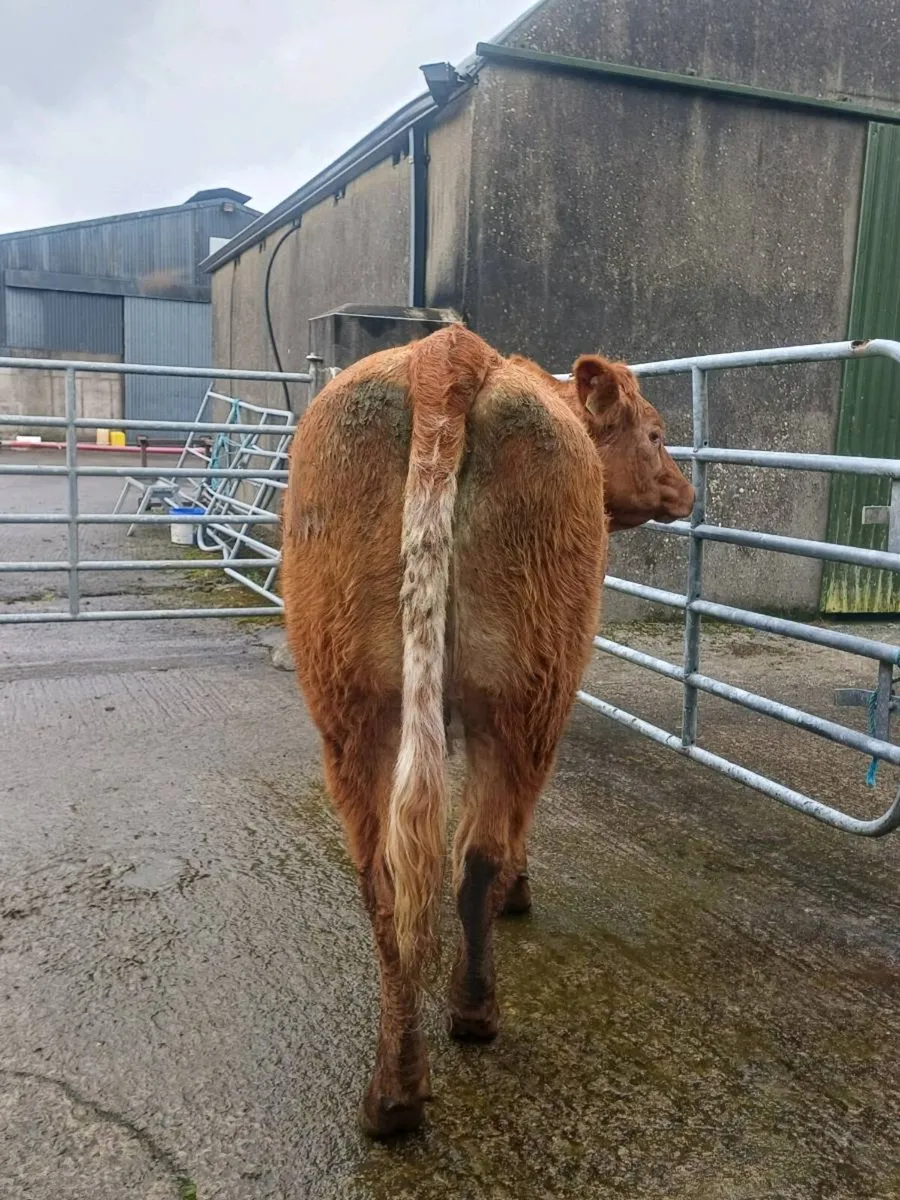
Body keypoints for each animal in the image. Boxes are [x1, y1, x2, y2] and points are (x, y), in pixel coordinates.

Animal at [281, 325, 694, 1138]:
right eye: (656, 432)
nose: (687, 488)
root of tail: (447, 351)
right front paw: (522, 890)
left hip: (353, 700)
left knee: (387, 882)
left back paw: (395, 1094)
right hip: (528, 689)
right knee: (477, 858)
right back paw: (473, 1013)